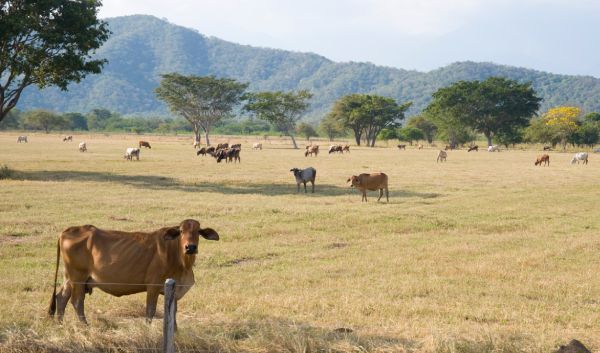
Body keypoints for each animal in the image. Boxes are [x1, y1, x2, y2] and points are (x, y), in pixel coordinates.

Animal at [48, 219, 219, 324]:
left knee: (61, 298)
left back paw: (60, 324)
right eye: (181, 231)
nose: (190, 247)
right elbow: (150, 311)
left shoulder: (174, 289)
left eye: (198, 231)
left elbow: (172, 313)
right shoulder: (153, 286)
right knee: (77, 301)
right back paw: (85, 326)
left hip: (69, 278)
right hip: (78, 277)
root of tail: (68, 230)